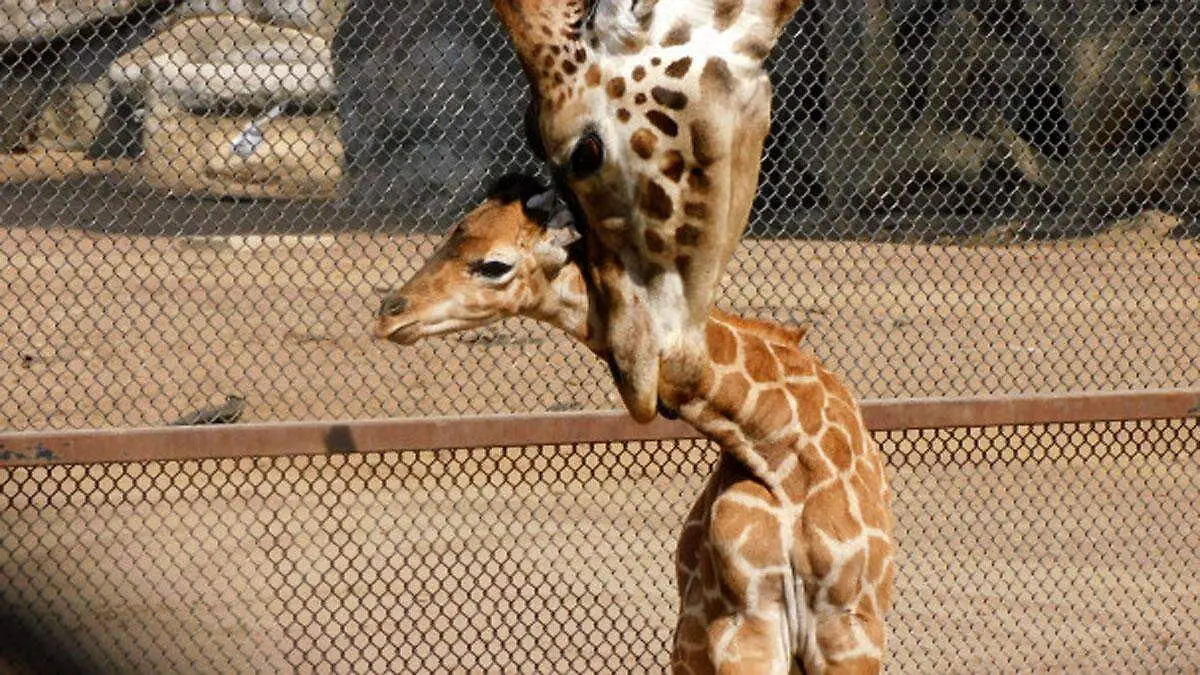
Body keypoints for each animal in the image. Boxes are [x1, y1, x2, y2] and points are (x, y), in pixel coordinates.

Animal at [373, 174, 895, 674]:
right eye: (453, 232)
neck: (779, 448)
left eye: (494, 264)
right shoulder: (746, 625)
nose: (390, 313)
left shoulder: (848, 629)